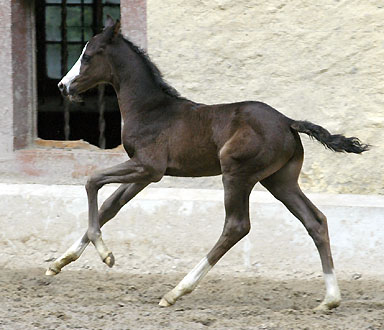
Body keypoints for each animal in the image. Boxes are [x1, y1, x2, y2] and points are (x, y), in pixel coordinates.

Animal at [48, 16, 368, 310]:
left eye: (88, 56)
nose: (63, 86)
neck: (150, 109)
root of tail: (288, 122)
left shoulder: (148, 167)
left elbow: (92, 181)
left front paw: (106, 256)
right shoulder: (145, 174)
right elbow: (109, 206)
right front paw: (59, 262)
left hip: (237, 174)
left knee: (237, 226)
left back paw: (176, 291)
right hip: (280, 181)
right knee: (315, 221)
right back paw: (330, 299)